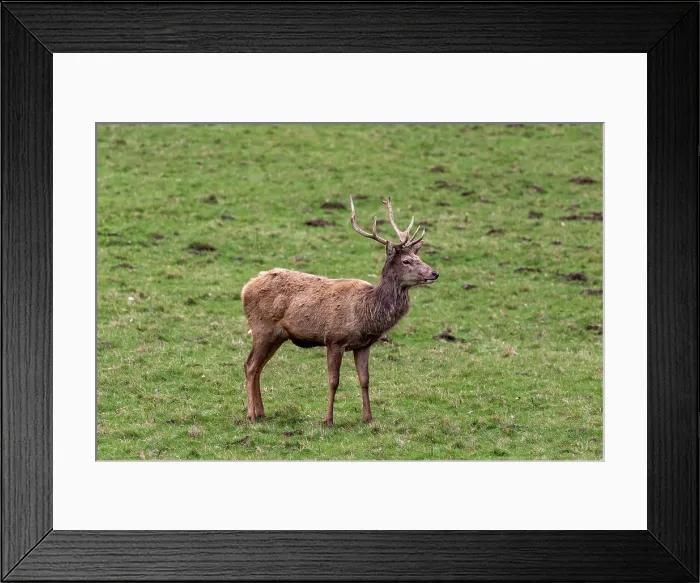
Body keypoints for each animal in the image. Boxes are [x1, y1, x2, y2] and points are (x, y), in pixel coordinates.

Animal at [240, 197, 439, 426]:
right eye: (406, 261)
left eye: (419, 257)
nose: (434, 273)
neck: (366, 312)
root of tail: (246, 288)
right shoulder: (335, 340)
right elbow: (333, 380)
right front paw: (328, 419)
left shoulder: (364, 345)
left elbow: (365, 380)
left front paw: (368, 418)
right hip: (262, 328)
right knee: (250, 366)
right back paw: (251, 415)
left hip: (278, 336)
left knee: (259, 367)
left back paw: (262, 413)